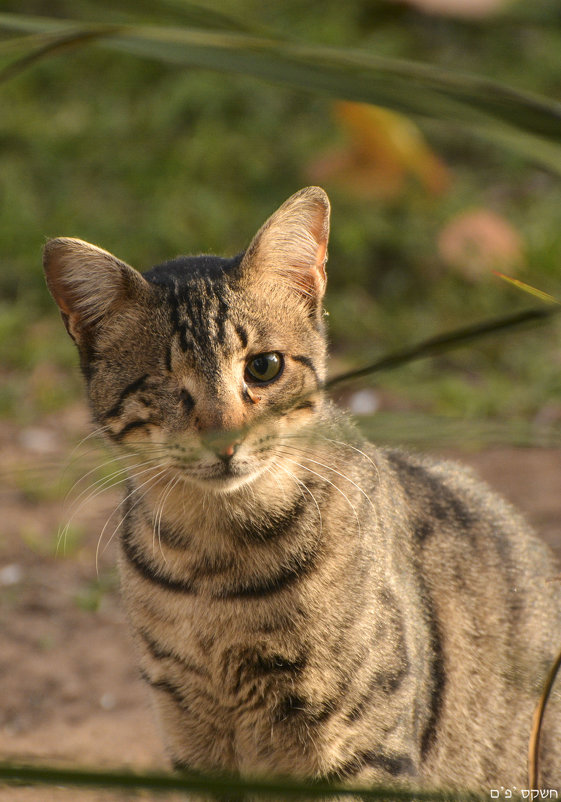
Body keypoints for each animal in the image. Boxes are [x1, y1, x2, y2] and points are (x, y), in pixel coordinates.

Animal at [42, 186, 560, 788]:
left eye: (263, 367)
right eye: (166, 385)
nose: (225, 440)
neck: (214, 570)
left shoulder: (361, 748)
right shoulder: (190, 730)